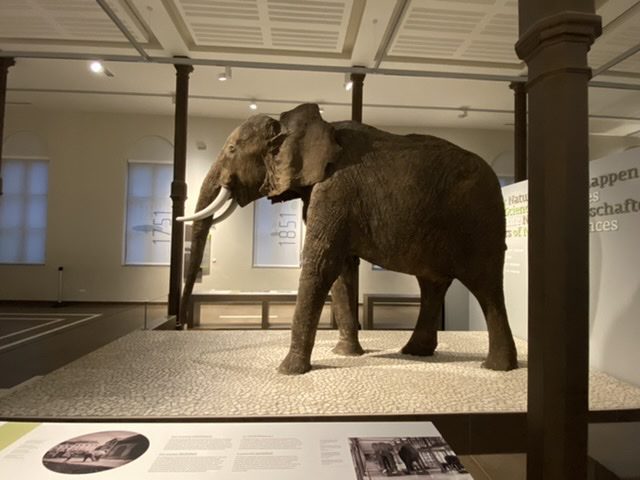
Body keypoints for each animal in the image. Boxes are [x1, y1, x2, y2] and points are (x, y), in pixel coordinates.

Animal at [178, 104, 516, 376]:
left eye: (232, 150)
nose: (179, 324)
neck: (290, 124)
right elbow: (341, 270)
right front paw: (346, 354)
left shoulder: (335, 190)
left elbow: (321, 264)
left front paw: (288, 371)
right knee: (432, 285)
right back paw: (415, 352)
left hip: (480, 221)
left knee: (485, 286)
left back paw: (497, 367)